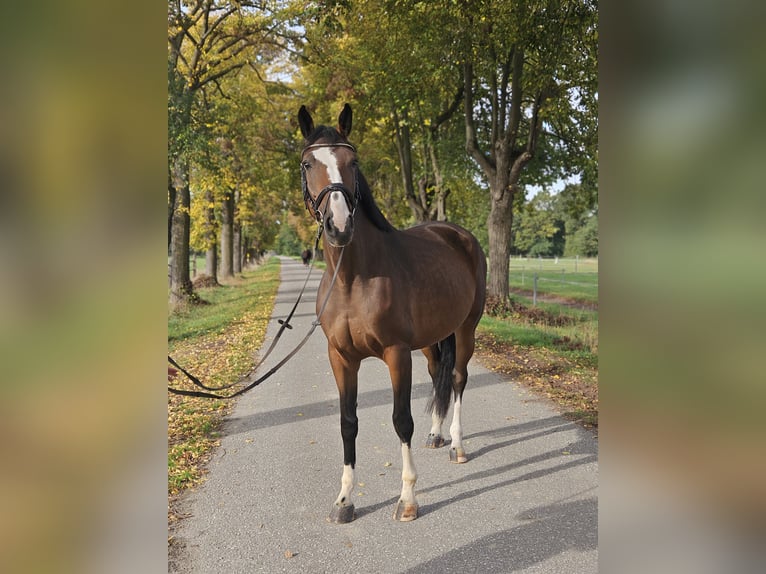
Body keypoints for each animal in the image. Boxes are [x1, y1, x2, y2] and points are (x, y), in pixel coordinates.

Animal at [298, 104, 486, 523]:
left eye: (353, 162)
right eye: (306, 163)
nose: (339, 226)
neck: (353, 279)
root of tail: (459, 234)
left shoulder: (397, 354)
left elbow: (401, 421)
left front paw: (408, 499)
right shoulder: (340, 357)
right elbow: (348, 422)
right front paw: (345, 501)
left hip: (466, 327)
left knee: (459, 378)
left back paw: (457, 445)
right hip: (433, 338)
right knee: (437, 374)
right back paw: (437, 434)